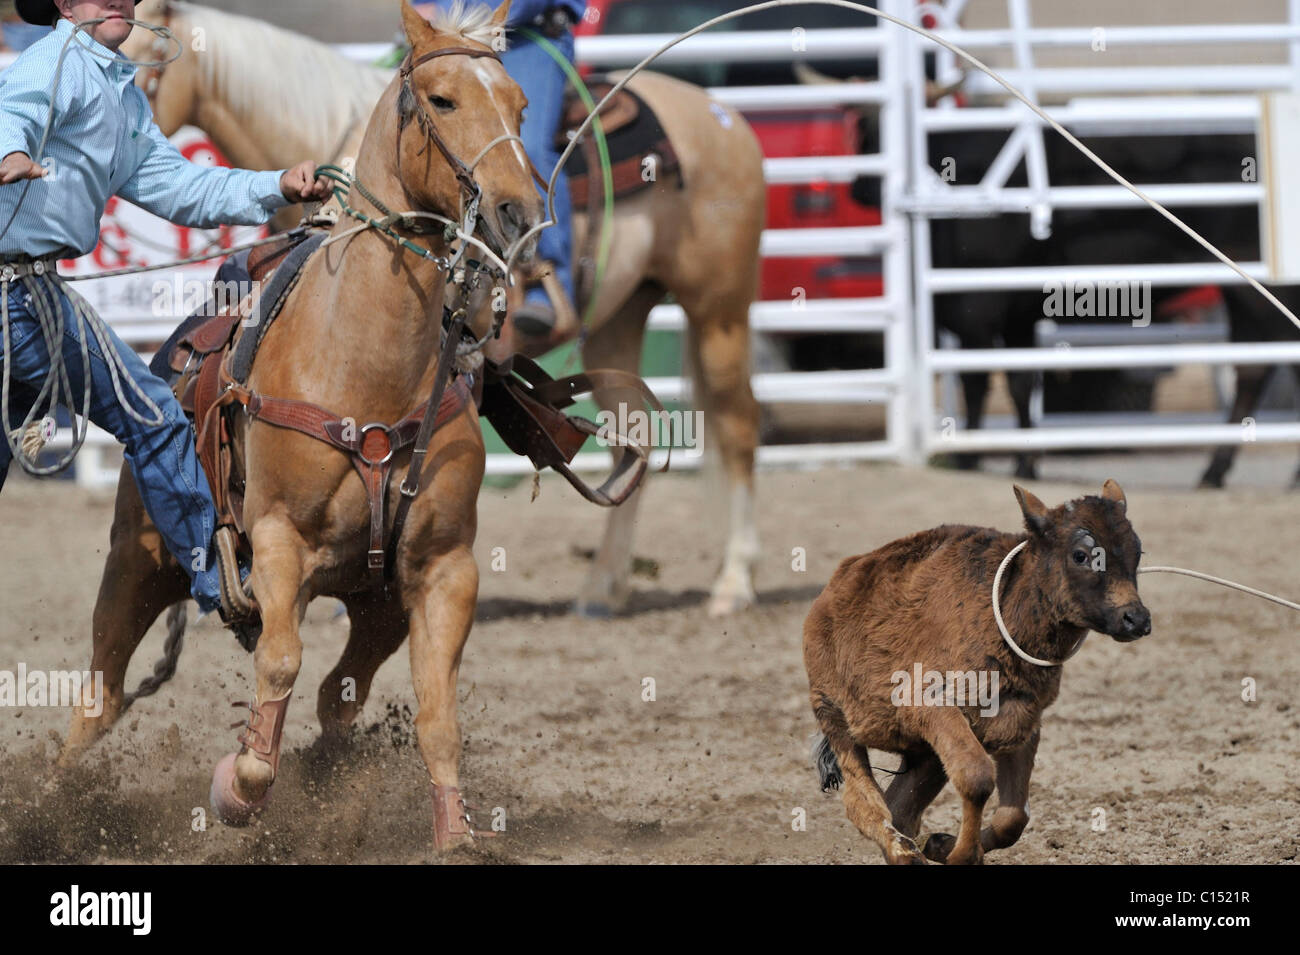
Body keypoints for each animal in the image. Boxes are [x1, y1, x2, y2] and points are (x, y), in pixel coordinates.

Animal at [61, 0, 548, 852]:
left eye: (520, 106)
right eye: (444, 99)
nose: (517, 214)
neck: (366, 368)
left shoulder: (443, 569)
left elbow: (435, 712)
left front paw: (453, 832)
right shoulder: (279, 544)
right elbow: (280, 663)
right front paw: (239, 787)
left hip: (375, 603)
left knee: (335, 697)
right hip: (138, 558)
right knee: (102, 696)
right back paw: (48, 802)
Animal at [124, 0, 766, 617]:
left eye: (520, 106)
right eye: (441, 99)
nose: (520, 216)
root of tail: (723, 115)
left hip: (719, 310)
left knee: (736, 427)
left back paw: (733, 583)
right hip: (619, 319)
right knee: (630, 443)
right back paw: (600, 590)